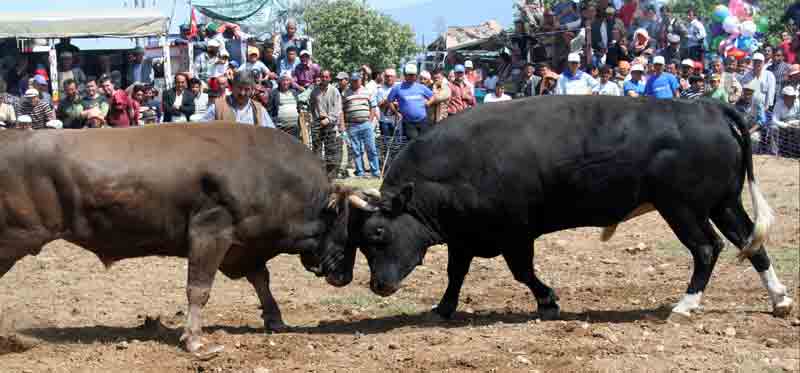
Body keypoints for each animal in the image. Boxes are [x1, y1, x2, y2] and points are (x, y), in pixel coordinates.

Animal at [0, 123, 376, 358]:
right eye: (348, 229)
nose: (344, 277)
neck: (272, 176)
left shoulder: (244, 247)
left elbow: (261, 280)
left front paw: (275, 320)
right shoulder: (210, 233)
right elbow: (199, 289)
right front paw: (195, 341)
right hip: (14, 239)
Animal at [342, 96, 792, 320]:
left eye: (377, 233)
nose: (378, 285)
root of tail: (710, 107)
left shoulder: (515, 233)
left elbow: (523, 271)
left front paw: (548, 300)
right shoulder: (465, 236)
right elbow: (456, 273)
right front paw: (444, 308)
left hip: (682, 208)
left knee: (707, 249)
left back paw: (685, 305)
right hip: (723, 203)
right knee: (751, 244)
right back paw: (780, 300)